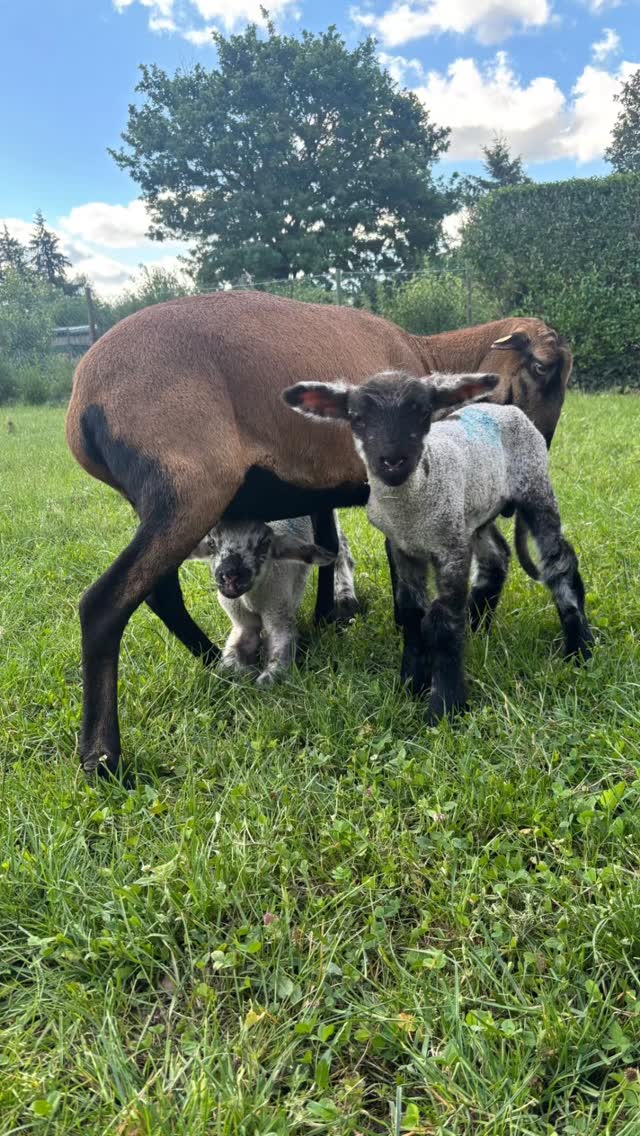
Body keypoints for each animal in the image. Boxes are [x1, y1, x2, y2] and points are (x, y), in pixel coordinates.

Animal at [189, 517, 338, 687]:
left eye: (264, 543)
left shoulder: (279, 617)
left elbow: (279, 656)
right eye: (211, 543)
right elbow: (232, 655)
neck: (251, 601)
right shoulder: (243, 624)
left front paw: (264, 681)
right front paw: (233, 675)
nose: (229, 576)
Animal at [283, 370, 592, 722]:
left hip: (535, 486)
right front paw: (412, 684)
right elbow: (411, 613)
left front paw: (445, 706)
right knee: (496, 557)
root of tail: (504, 408)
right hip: (474, 512)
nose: (392, 461)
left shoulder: (451, 548)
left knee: (560, 562)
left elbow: (442, 623)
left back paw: (579, 648)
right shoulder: (403, 548)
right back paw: (476, 626)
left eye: (422, 412)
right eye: (357, 418)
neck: (412, 513)